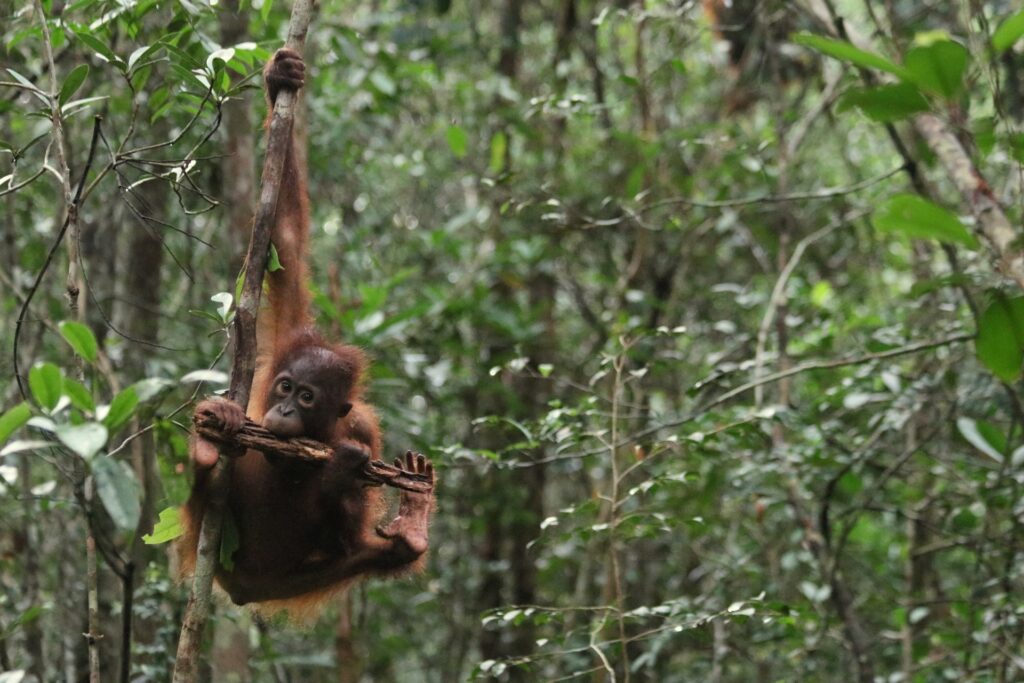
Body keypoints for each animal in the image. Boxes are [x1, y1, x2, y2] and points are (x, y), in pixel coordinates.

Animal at [179, 49, 435, 618]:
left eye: (308, 397)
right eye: (284, 386)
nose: (283, 409)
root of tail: (243, 590)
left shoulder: (363, 430)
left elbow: (347, 517)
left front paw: (341, 472)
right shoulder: (285, 343)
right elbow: (287, 242)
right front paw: (280, 78)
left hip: (285, 583)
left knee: (366, 553)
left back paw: (413, 525)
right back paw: (208, 450)